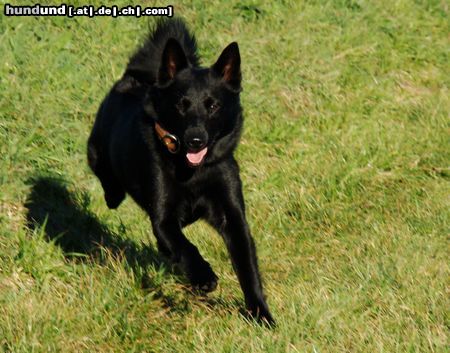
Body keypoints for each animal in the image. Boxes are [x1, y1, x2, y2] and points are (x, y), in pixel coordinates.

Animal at [86, 17, 272, 324]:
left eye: (213, 105)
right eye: (181, 105)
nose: (195, 140)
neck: (193, 173)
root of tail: (136, 77)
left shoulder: (233, 217)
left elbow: (247, 267)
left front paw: (261, 315)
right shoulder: (163, 219)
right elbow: (185, 246)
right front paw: (204, 276)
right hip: (97, 153)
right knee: (105, 175)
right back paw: (113, 195)